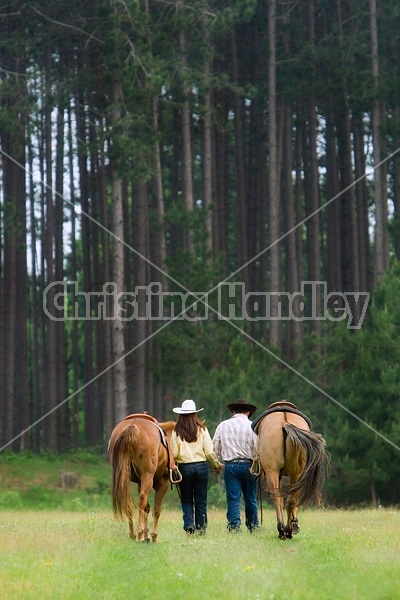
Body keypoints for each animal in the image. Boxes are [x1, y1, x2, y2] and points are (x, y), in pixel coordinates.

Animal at [253, 404, 328, 540]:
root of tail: (285, 423)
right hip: (293, 474)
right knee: (289, 500)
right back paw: (287, 530)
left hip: (275, 472)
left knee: (281, 499)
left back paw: (283, 530)